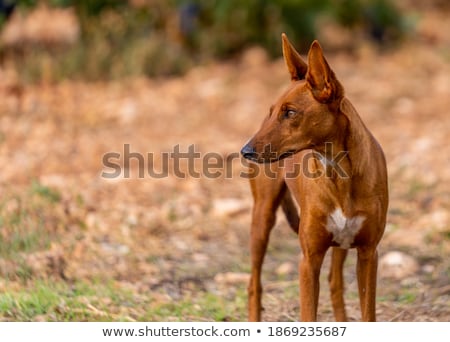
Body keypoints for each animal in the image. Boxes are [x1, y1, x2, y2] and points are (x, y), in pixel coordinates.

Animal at [241, 33, 388, 322]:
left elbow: (368, 313)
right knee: (254, 284)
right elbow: (308, 314)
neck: (340, 174)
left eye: (290, 112)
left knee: (335, 283)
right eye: (271, 111)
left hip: (342, 244)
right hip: (262, 218)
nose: (246, 151)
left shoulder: (368, 254)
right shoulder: (309, 261)